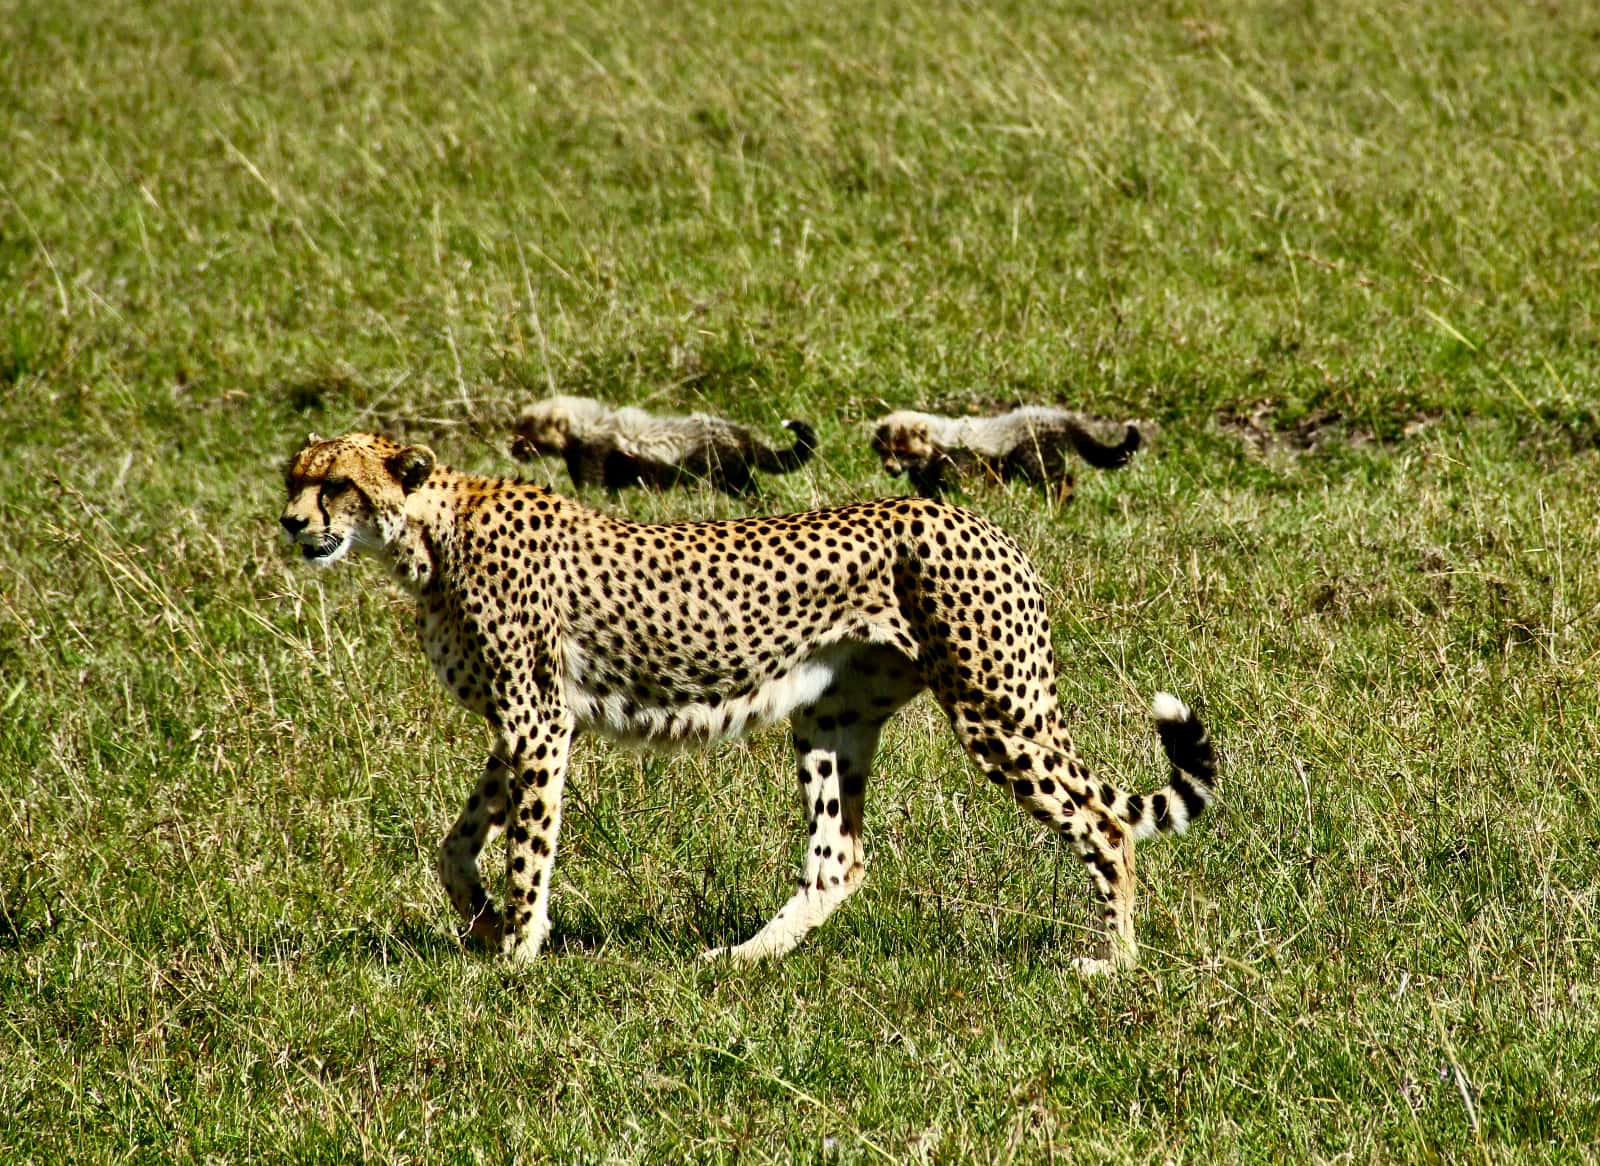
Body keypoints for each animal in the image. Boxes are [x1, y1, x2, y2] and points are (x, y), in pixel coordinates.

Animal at [281, 431, 1216, 966]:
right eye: (294, 477)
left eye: (339, 487)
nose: (292, 523)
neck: (428, 535)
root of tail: (981, 524)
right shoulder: (523, 723)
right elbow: (459, 841)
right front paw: (479, 924)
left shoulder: (537, 721)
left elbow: (528, 846)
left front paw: (517, 954)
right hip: (832, 717)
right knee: (840, 858)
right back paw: (743, 959)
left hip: (996, 710)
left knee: (1104, 822)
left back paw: (1114, 961)